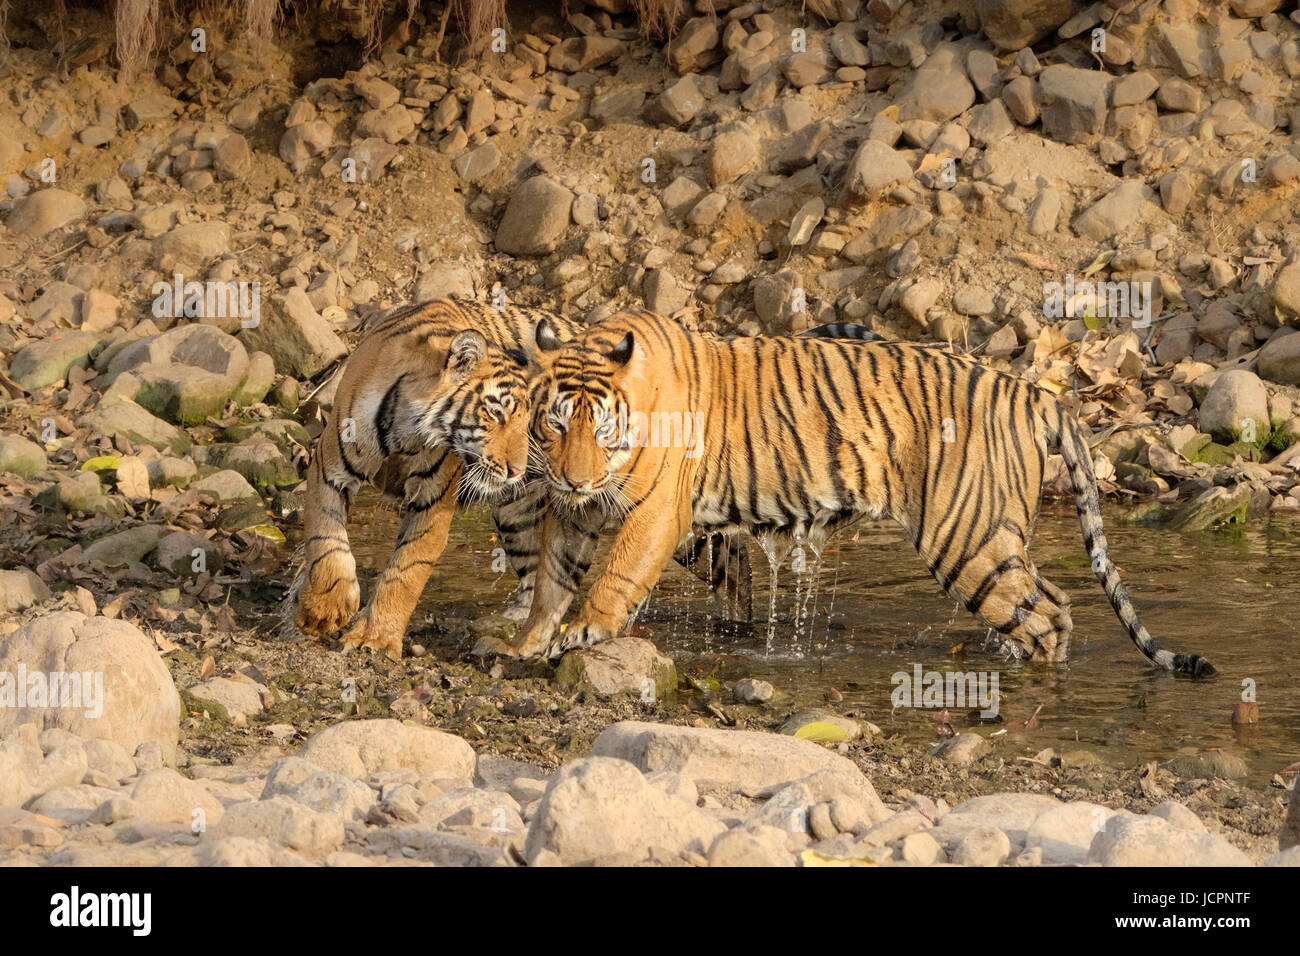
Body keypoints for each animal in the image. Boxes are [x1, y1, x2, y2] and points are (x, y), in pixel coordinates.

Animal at [292, 298, 750, 659]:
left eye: (530, 418)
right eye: (496, 413)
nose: (516, 467)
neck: (407, 425)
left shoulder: (434, 494)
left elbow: (408, 568)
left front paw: (376, 639)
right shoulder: (330, 466)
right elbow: (325, 538)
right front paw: (324, 608)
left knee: (728, 567)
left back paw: (738, 621)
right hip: (518, 514)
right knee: (537, 578)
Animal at [476, 308, 1216, 678]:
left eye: (601, 428)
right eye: (554, 423)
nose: (574, 478)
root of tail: (1034, 393)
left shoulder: (654, 513)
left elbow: (613, 578)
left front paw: (580, 635)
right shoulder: (572, 514)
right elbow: (551, 581)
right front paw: (526, 643)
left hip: (966, 539)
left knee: (1049, 616)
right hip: (997, 539)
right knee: (1050, 601)